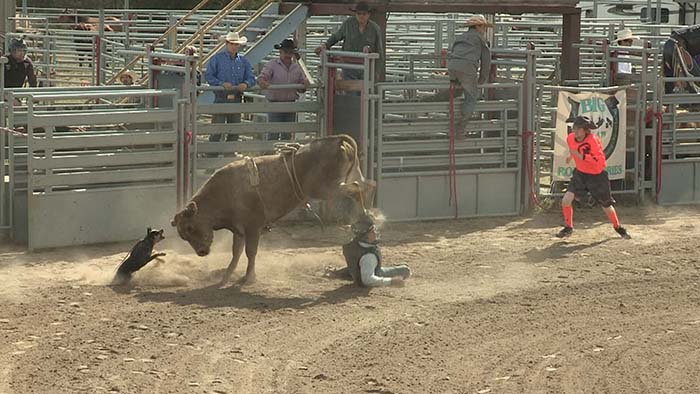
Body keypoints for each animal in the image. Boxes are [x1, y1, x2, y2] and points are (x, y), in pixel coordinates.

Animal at [170, 134, 374, 284]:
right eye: (183, 235)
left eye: (190, 227)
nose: (201, 252)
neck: (223, 193)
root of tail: (337, 141)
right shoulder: (239, 230)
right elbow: (236, 253)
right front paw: (227, 275)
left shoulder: (252, 227)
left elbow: (250, 252)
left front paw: (249, 277)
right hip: (348, 176)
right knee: (366, 185)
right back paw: (368, 217)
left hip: (326, 188)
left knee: (356, 188)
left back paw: (366, 217)